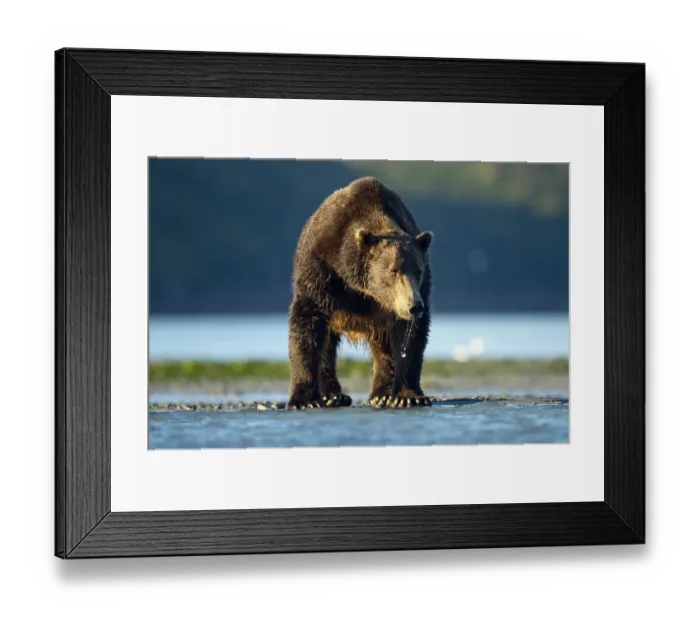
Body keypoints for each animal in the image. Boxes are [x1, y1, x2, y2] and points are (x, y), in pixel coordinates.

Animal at [287, 176, 433, 410]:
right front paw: (305, 399)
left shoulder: (415, 293)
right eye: (393, 270)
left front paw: (408, 396)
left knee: (383, 345)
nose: (414, 306)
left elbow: (410, 338)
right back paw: (333, 395)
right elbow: (307, 323)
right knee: (327, 343)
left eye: (418, 270)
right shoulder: (322, 270)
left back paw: (381, 394)